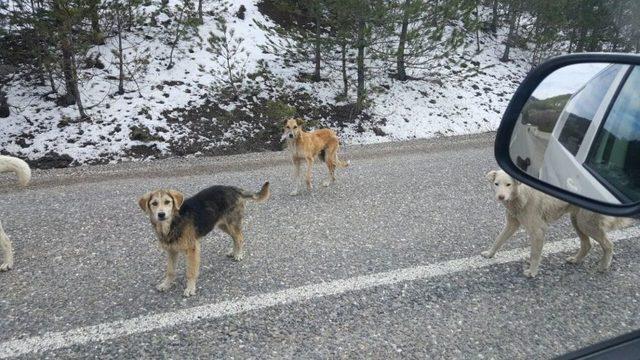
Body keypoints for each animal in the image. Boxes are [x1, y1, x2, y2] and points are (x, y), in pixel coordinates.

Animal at [139, 181, 268, 296]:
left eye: (167, 202)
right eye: (154, 203)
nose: (161, 214)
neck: (173, 222)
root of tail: (233, 188)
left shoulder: (192, 249)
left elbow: (191, 272)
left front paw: (190, 288)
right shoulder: (171, 251)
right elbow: (170, 271)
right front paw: (166, 285)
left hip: (232, 223)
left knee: (240, 237)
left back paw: (239, 254)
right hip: (222, 225)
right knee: (235, 238)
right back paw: (234, 251)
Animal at [484, 169, 632, 278]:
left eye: (508, 184)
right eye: (496, 184)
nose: (501, 197)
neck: (519, 195)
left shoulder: (538, 230)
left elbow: (535, 254)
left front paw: (532, 272)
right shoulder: (512, 224)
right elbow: (498, 240)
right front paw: (490, 253)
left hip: (586, 223)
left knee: (608, 244)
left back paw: (603, 266)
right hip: (577, 221)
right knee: (587, 244)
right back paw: (576, 260)